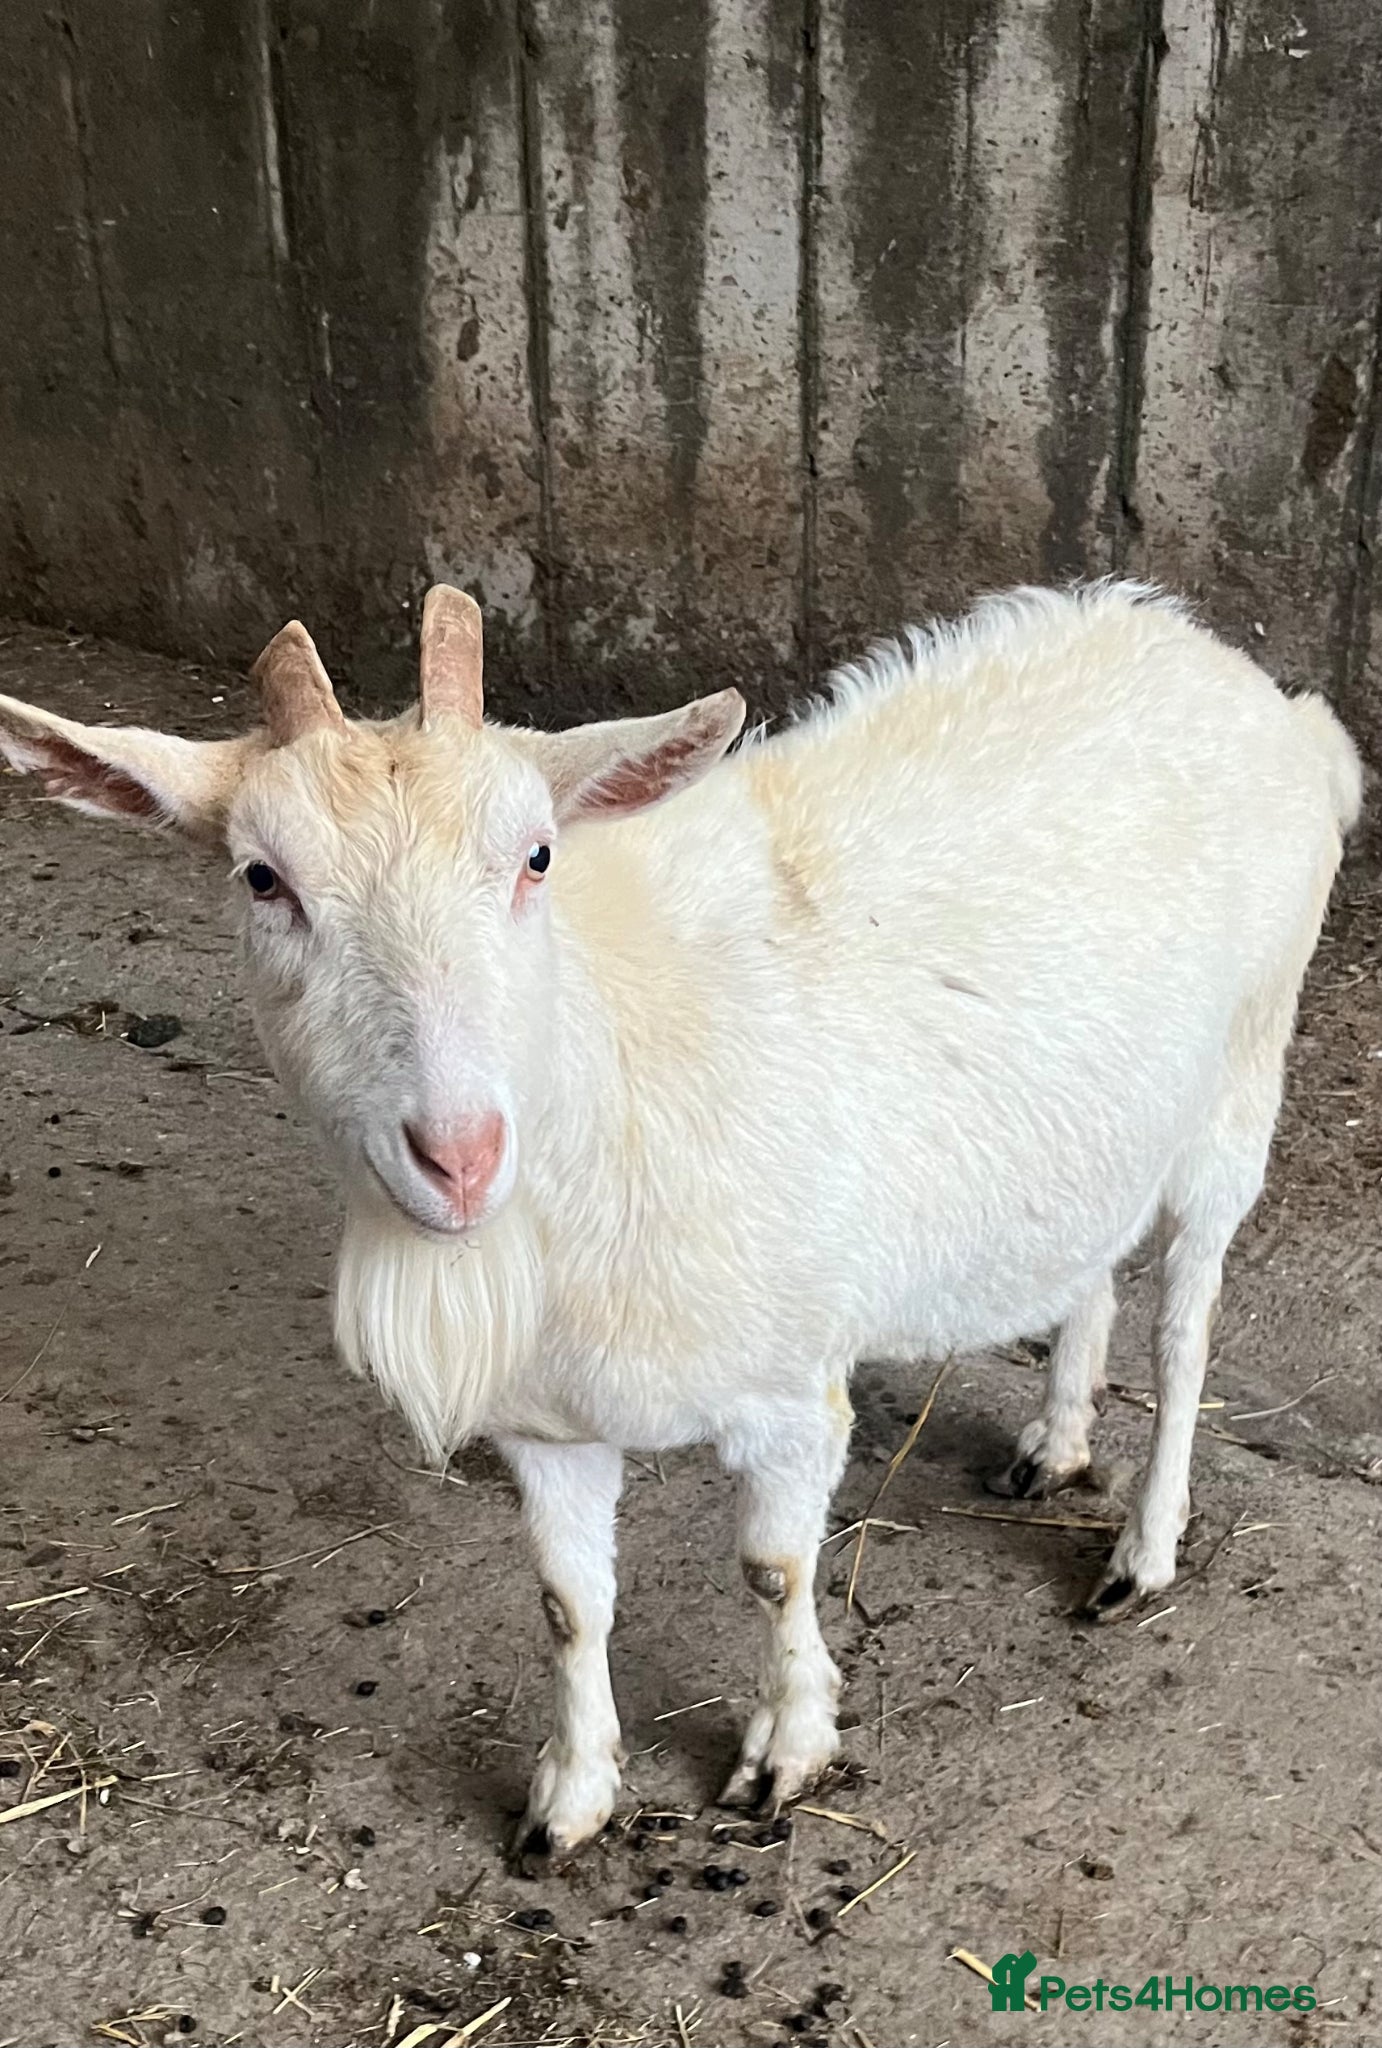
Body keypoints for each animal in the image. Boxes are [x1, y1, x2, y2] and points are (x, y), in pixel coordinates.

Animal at [0, 580, 1361, 1866]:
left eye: (535, 858)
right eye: (261, 877)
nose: (458, 1156)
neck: (606, 1066)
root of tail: (1249, 685)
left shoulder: (789, 1389)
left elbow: (774, 1569)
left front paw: (785, 1749)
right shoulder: (545, 1421)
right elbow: (567, 1602)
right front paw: (569, 1800)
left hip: (1238, 1084)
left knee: (1184, 1327)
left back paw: (1140, 1550)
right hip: (1097, 1128)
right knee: (1088, 1265)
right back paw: (1054, 1442)